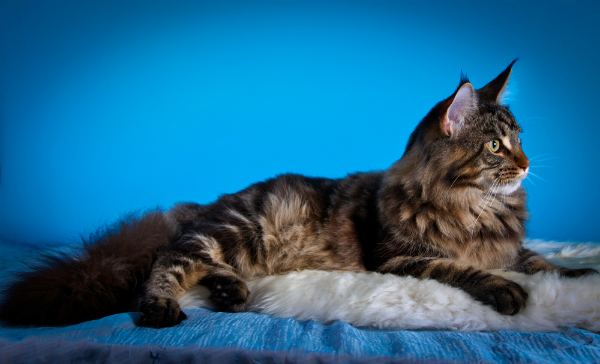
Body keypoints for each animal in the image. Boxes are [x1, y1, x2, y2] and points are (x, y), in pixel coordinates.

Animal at [0, 59, 596, 328]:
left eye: (521, 140)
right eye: (496, 145)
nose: (526, 163)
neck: (476, 207)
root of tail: (203, 207)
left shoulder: (509, 245)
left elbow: (539, 259)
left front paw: (580, 274)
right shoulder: (401, 259)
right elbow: (463, 268)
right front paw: (505, 290)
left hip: (239, 246)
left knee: (205, 267)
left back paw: (229, 293)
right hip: (236, 231)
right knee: (168, 263)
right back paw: (161, 306)